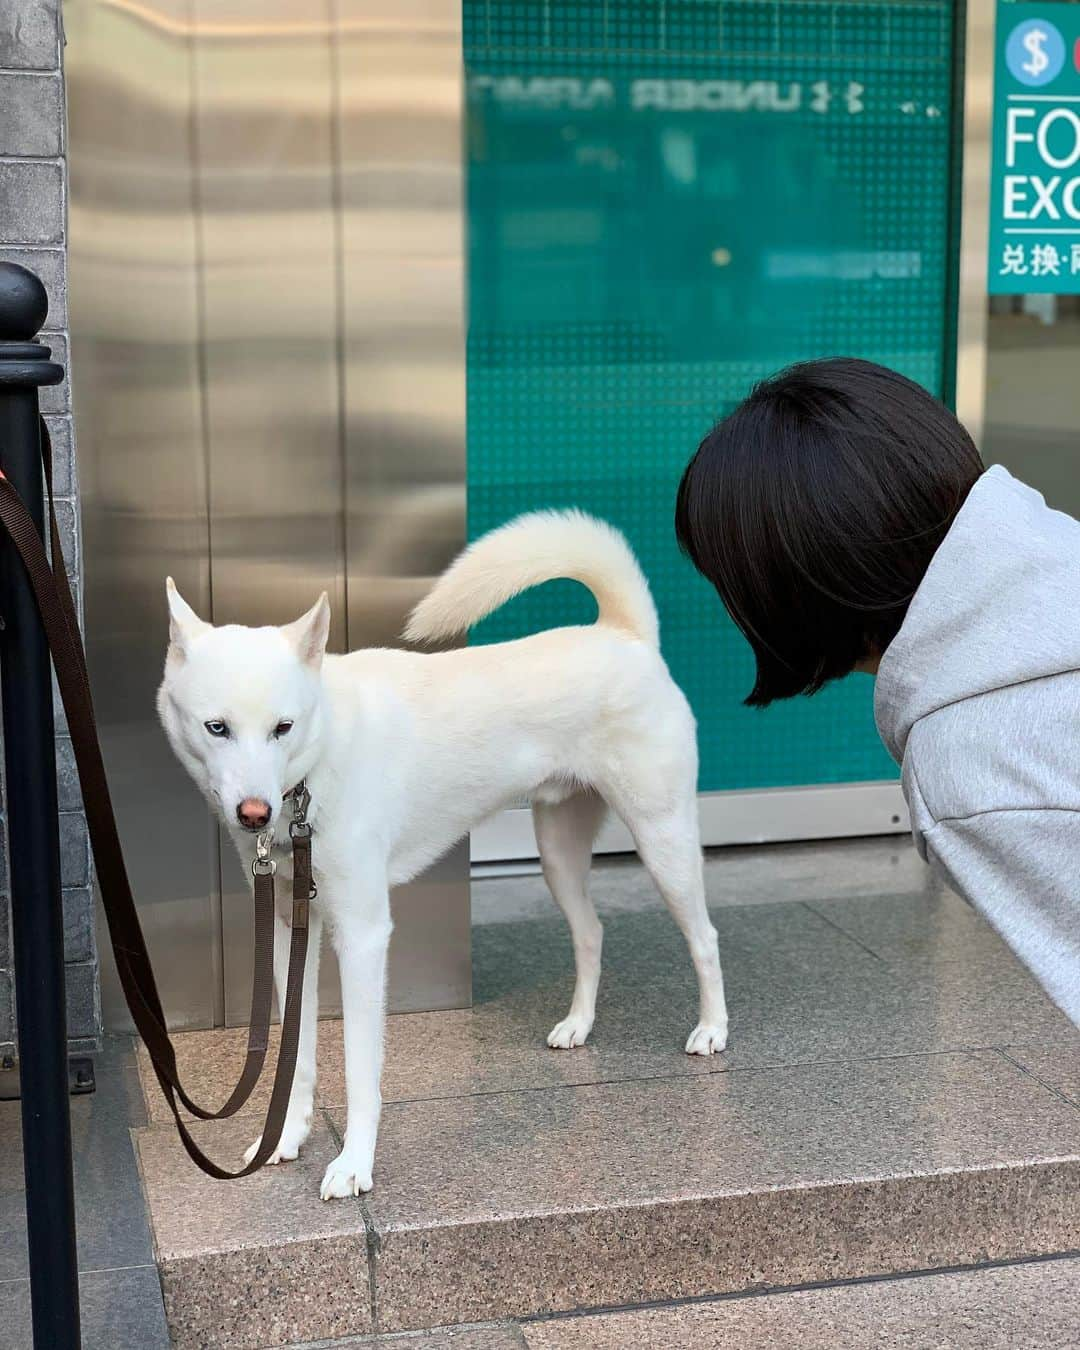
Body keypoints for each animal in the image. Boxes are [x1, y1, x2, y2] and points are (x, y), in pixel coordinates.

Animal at [155, 510, 729, 1198]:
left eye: (282, 728)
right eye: (216, 728)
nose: (254, 815)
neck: (311, 776)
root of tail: (624, 634)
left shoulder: (364, 934)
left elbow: (360, 1068)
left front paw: (353, 1164)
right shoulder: (293, 924)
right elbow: (297, 1055)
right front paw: (285, 1138)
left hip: (663, 838)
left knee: (704, 937)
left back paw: (713, 1029)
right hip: (557, 852)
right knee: (591, 931)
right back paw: (578, 1026)